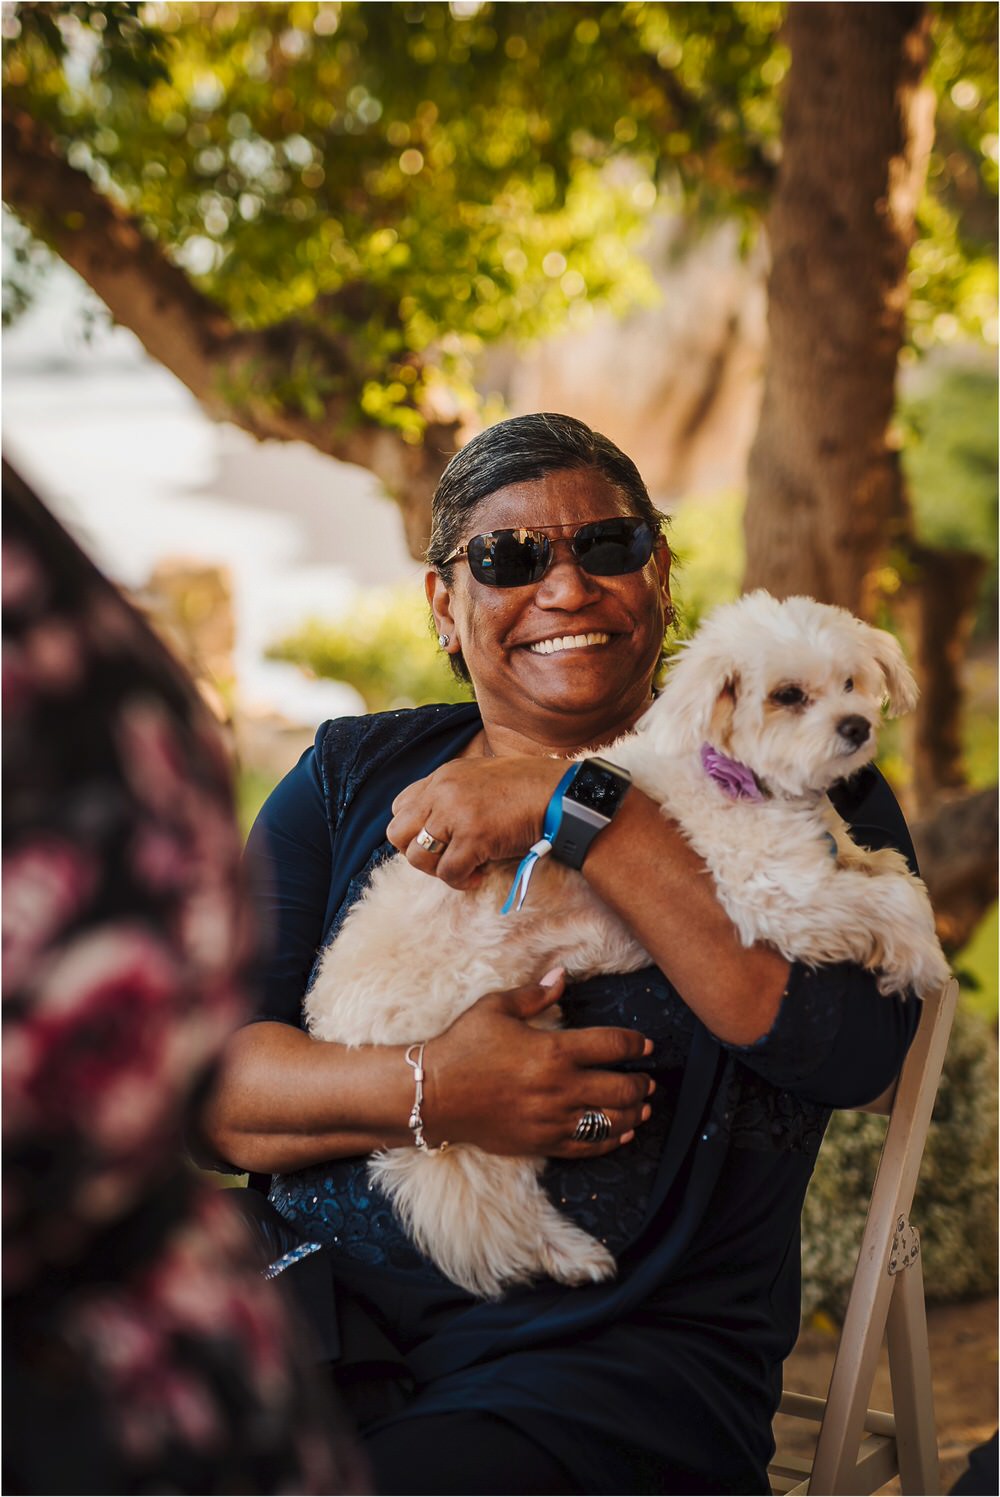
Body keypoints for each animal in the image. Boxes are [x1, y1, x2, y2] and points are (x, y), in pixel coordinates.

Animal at [302, 592, 946, 1299]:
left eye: (851, 683)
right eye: (788, 695)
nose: (856, 726)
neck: (736, 775)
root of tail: (332, 1020)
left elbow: (883, 869)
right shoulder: (771, 892)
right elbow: (887, 904)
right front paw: (921, 957)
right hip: (476, 1070)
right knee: (477, 1196)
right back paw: (564, 1253)